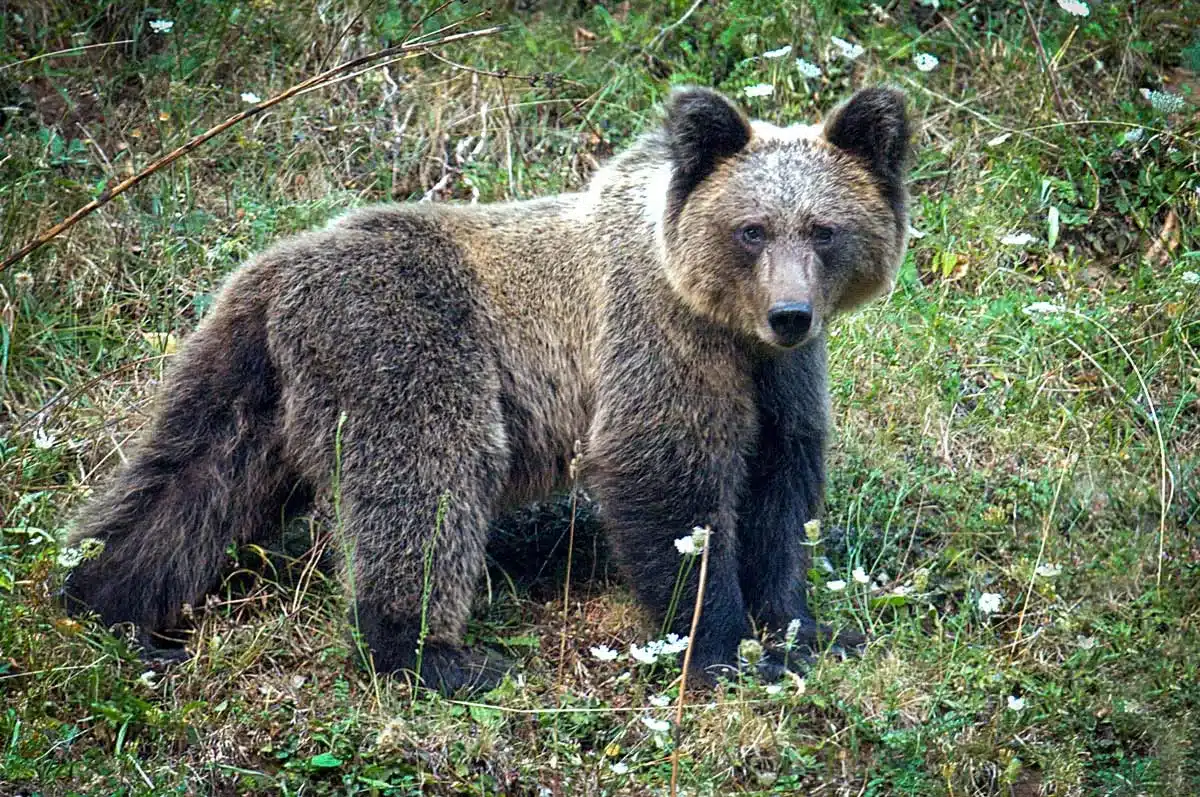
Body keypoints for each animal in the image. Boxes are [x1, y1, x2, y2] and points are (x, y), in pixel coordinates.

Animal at [62, 85, 913, 694]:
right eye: (752, 228)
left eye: (824, 229)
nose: (790, 312)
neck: (723, 319)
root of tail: (281, 266)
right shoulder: (659, 338)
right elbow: (667, 478)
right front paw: (721, 647)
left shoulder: (778, 381)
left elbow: (780, 492)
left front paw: (807, 630)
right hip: (410, 342)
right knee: (427, 484)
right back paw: (437, 656)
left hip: (253, 384)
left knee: (191, 482)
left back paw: (108, 600)